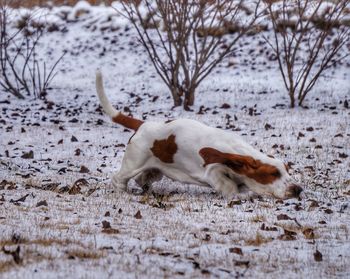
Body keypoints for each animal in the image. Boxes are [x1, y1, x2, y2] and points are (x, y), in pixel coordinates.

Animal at [96, 71, 304, 200]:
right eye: (273, 174)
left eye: (287, 170)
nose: (298, 189)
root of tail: (145, 125)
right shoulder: (213, 170)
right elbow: (228, 184)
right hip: (133, 163)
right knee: (118, 179)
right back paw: (124, 194)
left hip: (155, 170)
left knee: (143, 179)